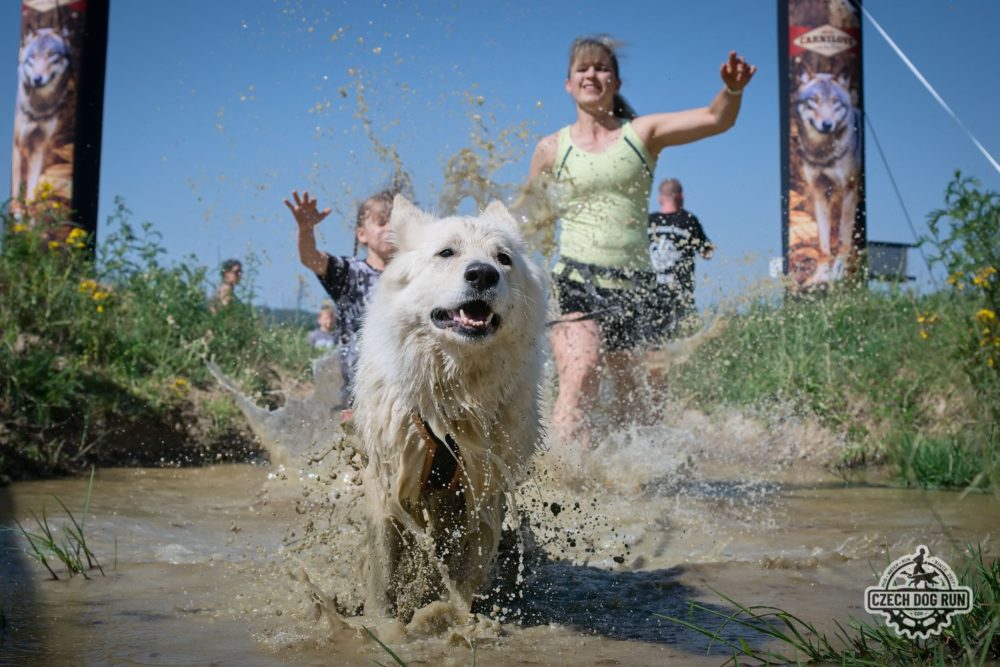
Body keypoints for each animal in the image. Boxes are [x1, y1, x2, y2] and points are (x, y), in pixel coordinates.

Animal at [356, 194, 548, 620]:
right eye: (447, 252)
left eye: (503, 258)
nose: (482, 274)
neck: (453, 395)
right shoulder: (391, 472)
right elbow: (382, 567)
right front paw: (380, 623)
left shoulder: (486, 480)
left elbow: (471, 564)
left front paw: (453, 615)